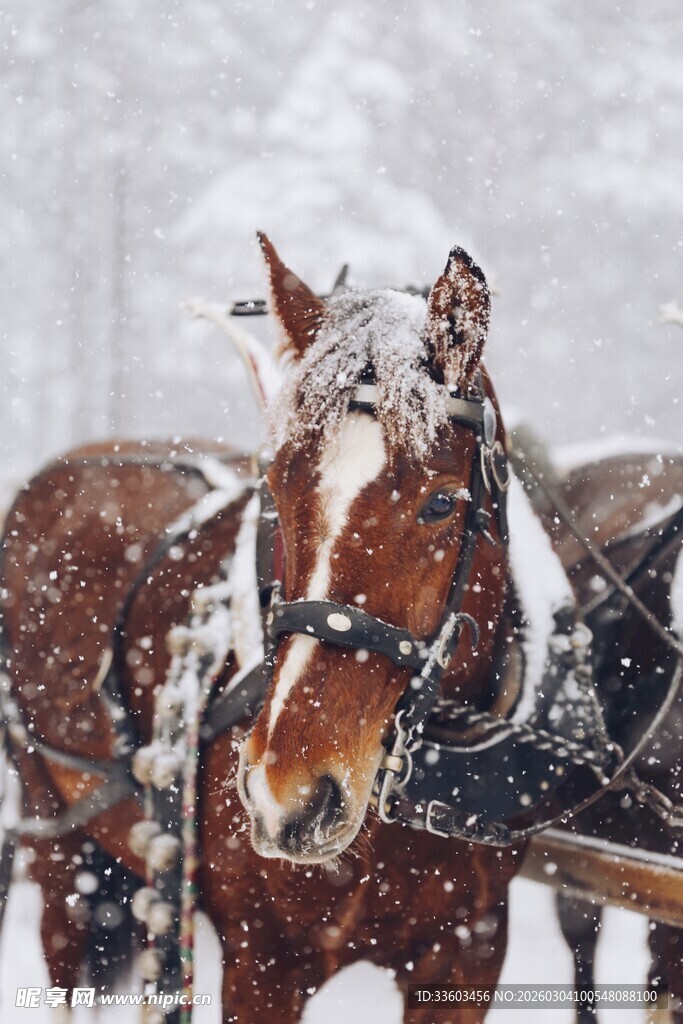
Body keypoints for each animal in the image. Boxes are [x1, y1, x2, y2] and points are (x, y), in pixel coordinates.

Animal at [1, 233, 680, 1024]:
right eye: (278, 482)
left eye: (441, 502)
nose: (285, 794)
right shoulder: (263, 965)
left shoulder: (469, 948)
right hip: (52, 826)